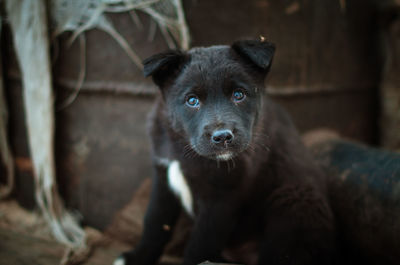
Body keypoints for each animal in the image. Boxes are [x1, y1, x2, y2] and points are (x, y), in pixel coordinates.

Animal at [115, 39, 334, 264]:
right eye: (192, 100)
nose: (222, 137)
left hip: (294, 201)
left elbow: (199, 245)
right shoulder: (162, 179)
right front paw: (136, 257)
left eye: (239, 95)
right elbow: (154, 223)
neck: (183, 148)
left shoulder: (221, 199)